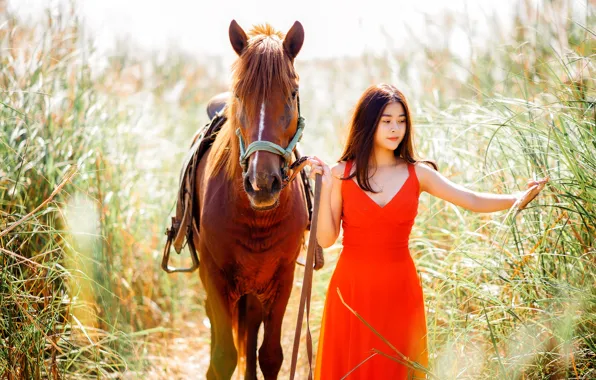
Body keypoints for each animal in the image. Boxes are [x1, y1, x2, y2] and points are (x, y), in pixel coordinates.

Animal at [194, 20, 310, 380]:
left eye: (293, 93)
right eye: (239, 95)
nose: (262, 184)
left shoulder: (282, 278)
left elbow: (269, 355)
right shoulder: (215, 278)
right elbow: (222, 358)